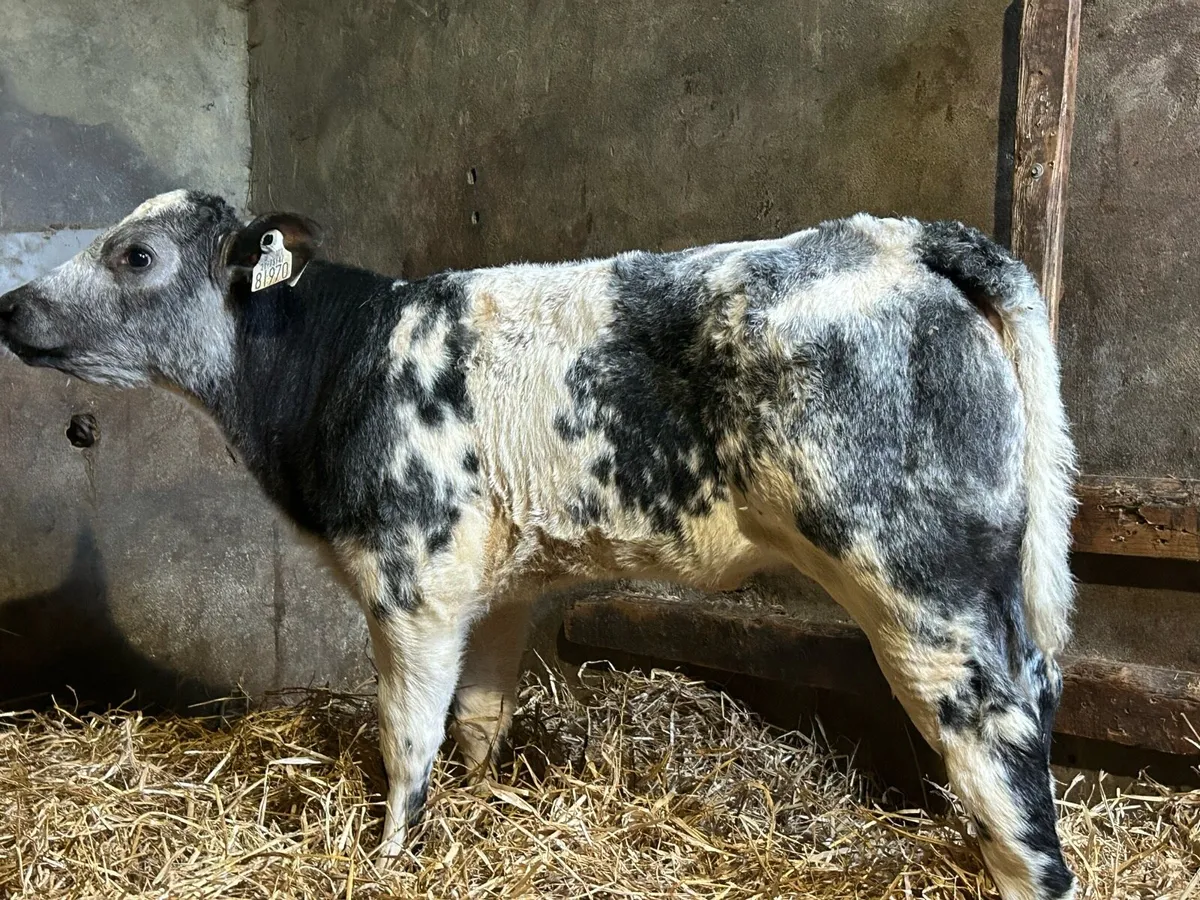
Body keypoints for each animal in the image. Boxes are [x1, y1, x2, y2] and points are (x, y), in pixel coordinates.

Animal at [0, 190, 1077, 900]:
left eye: (136, 256)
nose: (10, 305)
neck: (339, 364)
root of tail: (893, 236)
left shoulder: (411, 580)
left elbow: (407, 731)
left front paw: (390, 855)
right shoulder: (501, 586)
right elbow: (480, 716)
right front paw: (477, 810)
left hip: (916, 576)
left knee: (994, 730)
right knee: (1036, 690)